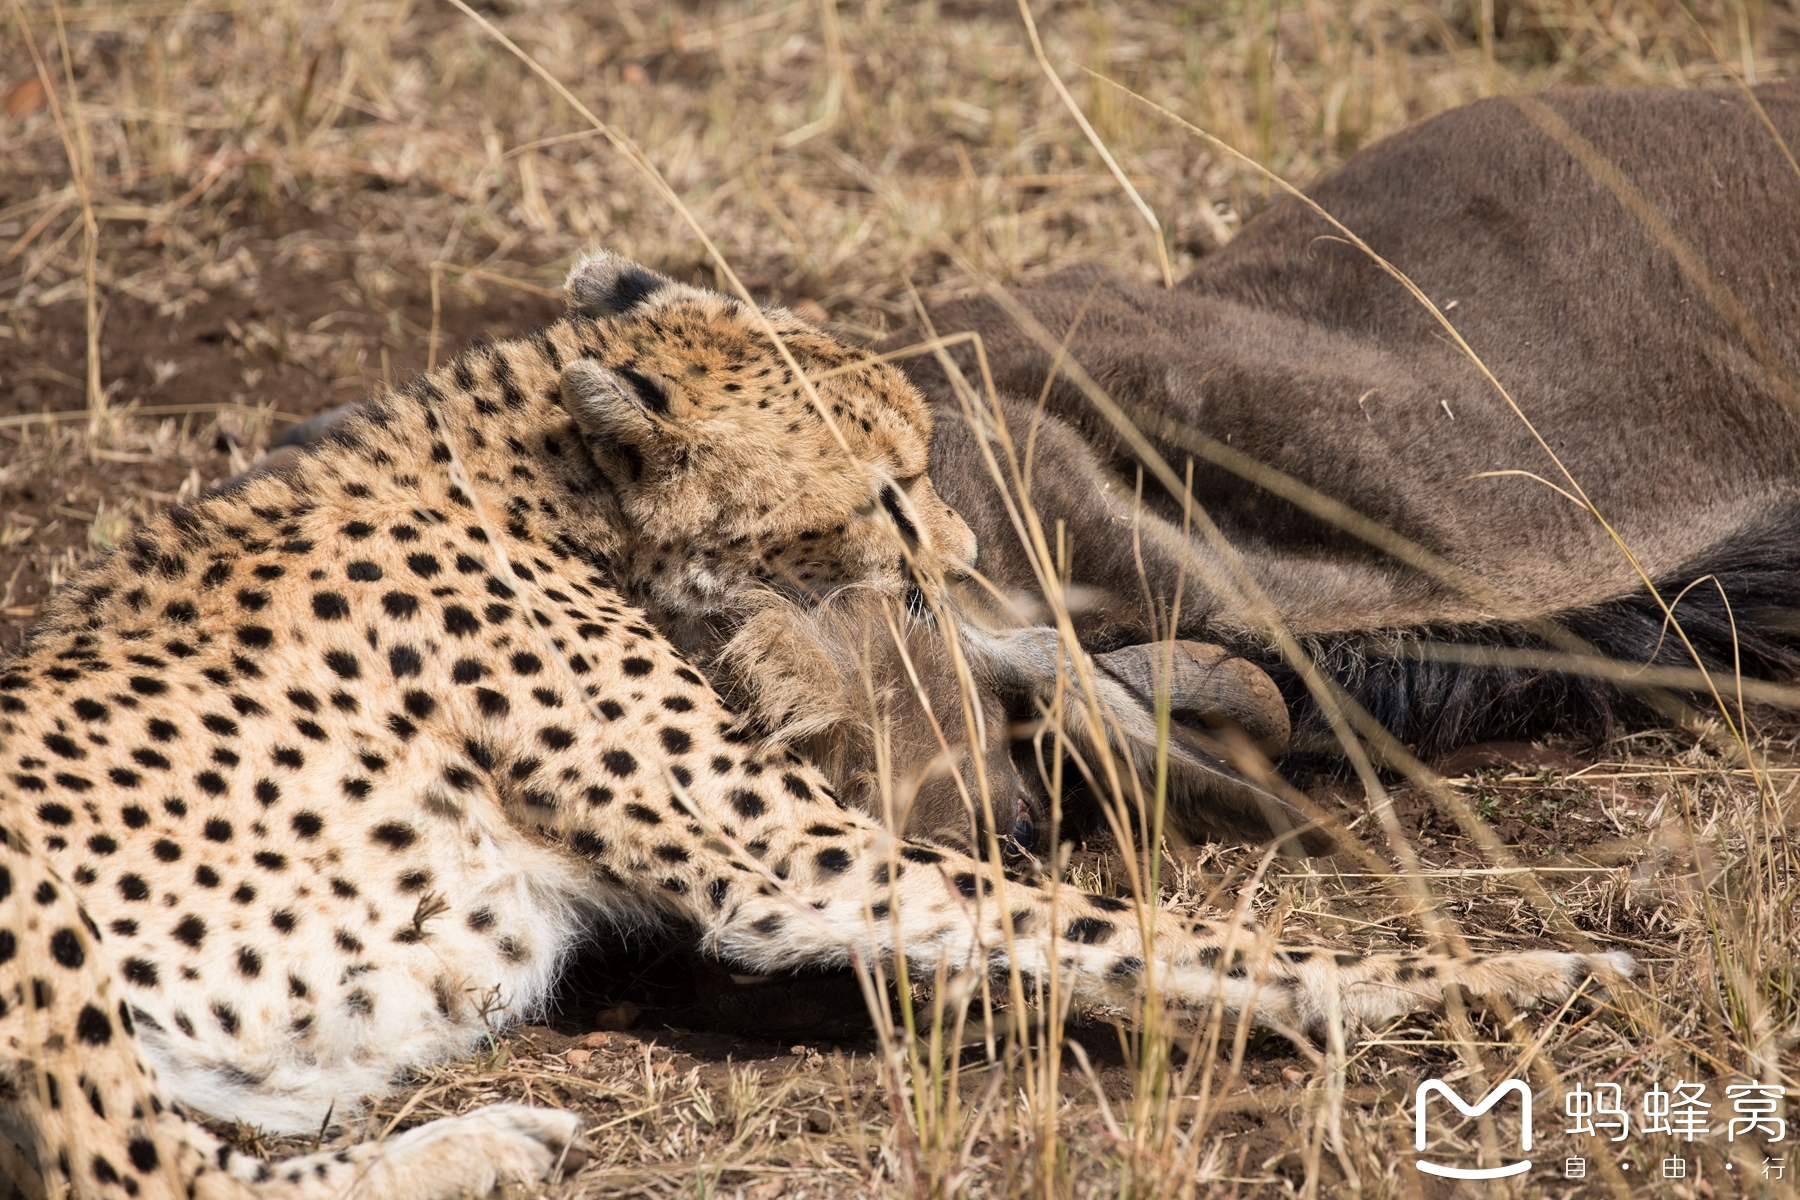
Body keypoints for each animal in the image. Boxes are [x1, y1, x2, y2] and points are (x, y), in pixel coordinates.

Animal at [0, 248, 1634, 1194]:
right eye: (887, 493)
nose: (964, 557)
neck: (533, 485)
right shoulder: (787, 860)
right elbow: (1157, 937)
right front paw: (1487, 974)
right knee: (133, 1176)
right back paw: (472, 1147)